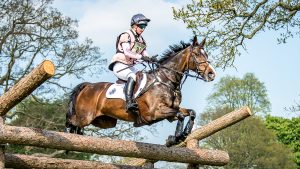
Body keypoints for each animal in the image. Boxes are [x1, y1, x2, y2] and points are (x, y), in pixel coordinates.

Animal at [65, 36, 216, 147]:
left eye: (206, 54)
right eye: (196, 54)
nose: (211, 74)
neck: (165, 80)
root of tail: (88, 86)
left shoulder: (170, 112)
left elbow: (190, 113)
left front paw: (182, 135)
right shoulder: (154, 113)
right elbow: (180, 115)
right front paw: (175, 138)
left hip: (104, 121)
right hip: (86, 117)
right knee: (71, 121)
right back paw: (67, 134)